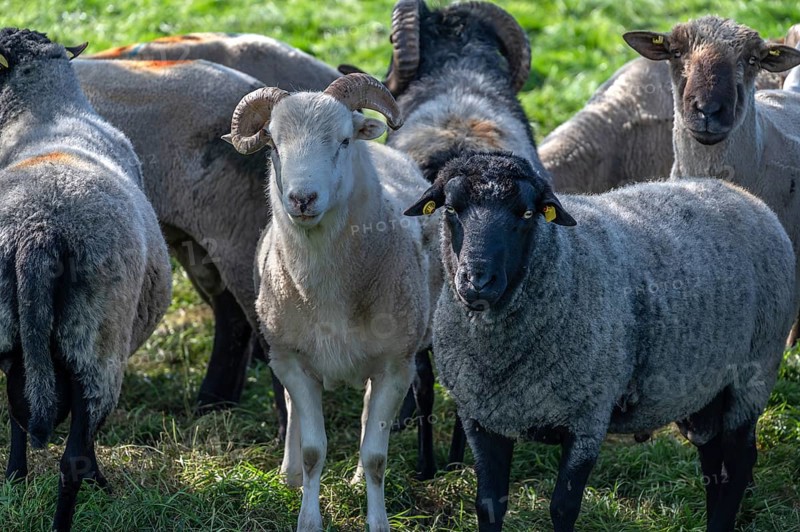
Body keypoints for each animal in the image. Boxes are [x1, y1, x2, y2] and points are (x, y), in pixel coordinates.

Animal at [0, 29, 171, 530]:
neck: (47, 111)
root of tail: (36, 231)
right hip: (94, 343)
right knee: (71, 456)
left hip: (22, 334)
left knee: (20, 416)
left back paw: (14, 478)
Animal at [224, 73, 435, 531]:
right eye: (272, 144)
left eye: (343, 140)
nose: (302, 199)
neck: (329, 291)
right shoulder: (292, 361)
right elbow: (312, 451)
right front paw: (307, 518)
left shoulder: (396, 367)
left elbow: (376, 456)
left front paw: (378, 521)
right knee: (292, 410)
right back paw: (287, 476)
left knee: (366, 421)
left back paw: (354, 479)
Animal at [405, 151, 796, 532]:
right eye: (451, 208)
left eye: (527, 213)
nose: (477, 281)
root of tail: (741, 194)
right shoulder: (482, 419)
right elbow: (488, 507)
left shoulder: (587, 419)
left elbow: (563, 509)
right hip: (704, 388)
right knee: (713, 461)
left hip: (753, 374)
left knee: (740, 463)